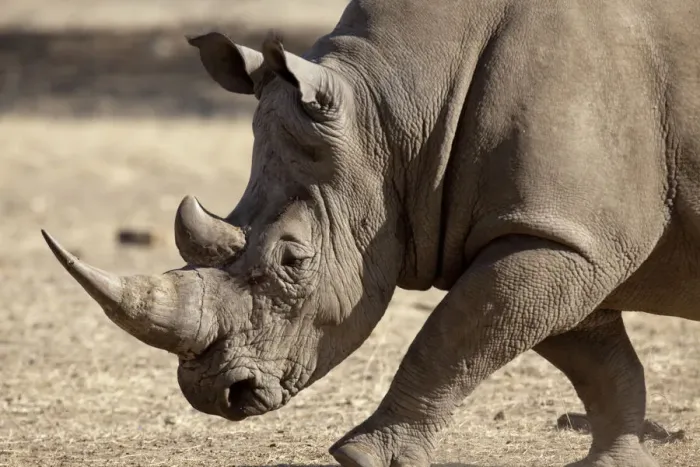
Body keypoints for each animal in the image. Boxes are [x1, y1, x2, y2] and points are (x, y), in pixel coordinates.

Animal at [41, 0, 700, 466]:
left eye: (294, 261)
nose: (216, 394)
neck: (393, 106)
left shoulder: (560, 234)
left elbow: (453, 337)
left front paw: (359, 456)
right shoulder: (566, 233)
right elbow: (597, 359)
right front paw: (615, 462)